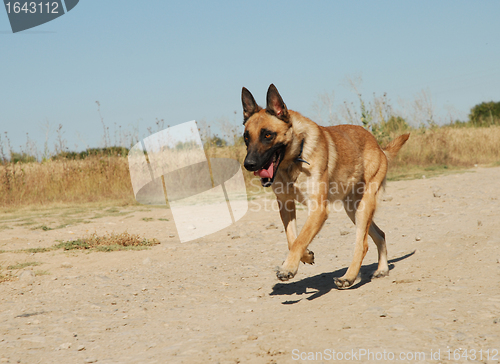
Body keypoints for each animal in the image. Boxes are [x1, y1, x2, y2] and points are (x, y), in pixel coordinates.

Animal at [242, 84, 410, 288]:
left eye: (268, 135)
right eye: (246, 137)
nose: (248, 164)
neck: (296, 157)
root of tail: (379, 147)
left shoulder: (318, 209)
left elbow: (300, 239)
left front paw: (288, 268)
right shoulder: (286, 205)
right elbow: (293, 239)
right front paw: (305, 256)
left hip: (363, 207)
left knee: (362, 244)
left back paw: (349, 277)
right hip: (353, 209)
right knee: (380, 235)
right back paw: (382, 269)